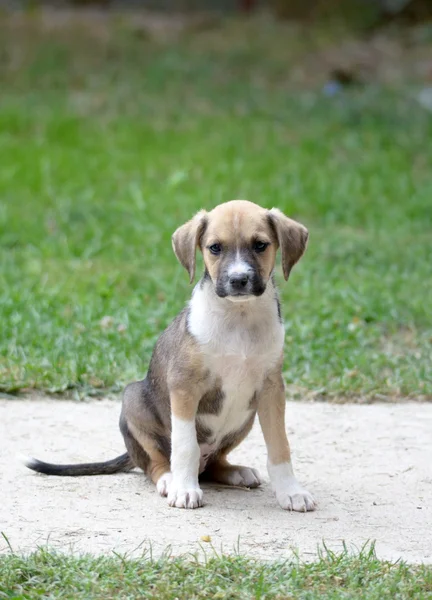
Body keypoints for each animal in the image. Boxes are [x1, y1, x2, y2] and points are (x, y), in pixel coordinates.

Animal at [25, 200, 316, 510]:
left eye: (260, 245)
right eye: (215, 248)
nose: (239, 280)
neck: (238, 317)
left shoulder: (271, 389)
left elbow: (280, 446)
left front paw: (291, 492)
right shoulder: (184, 386)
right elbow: (185, 445)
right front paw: (184, 489)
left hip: (245, 418)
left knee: (213, 464)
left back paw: (235, 472)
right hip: (133, 401)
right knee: (156, 462)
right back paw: (168, 479)